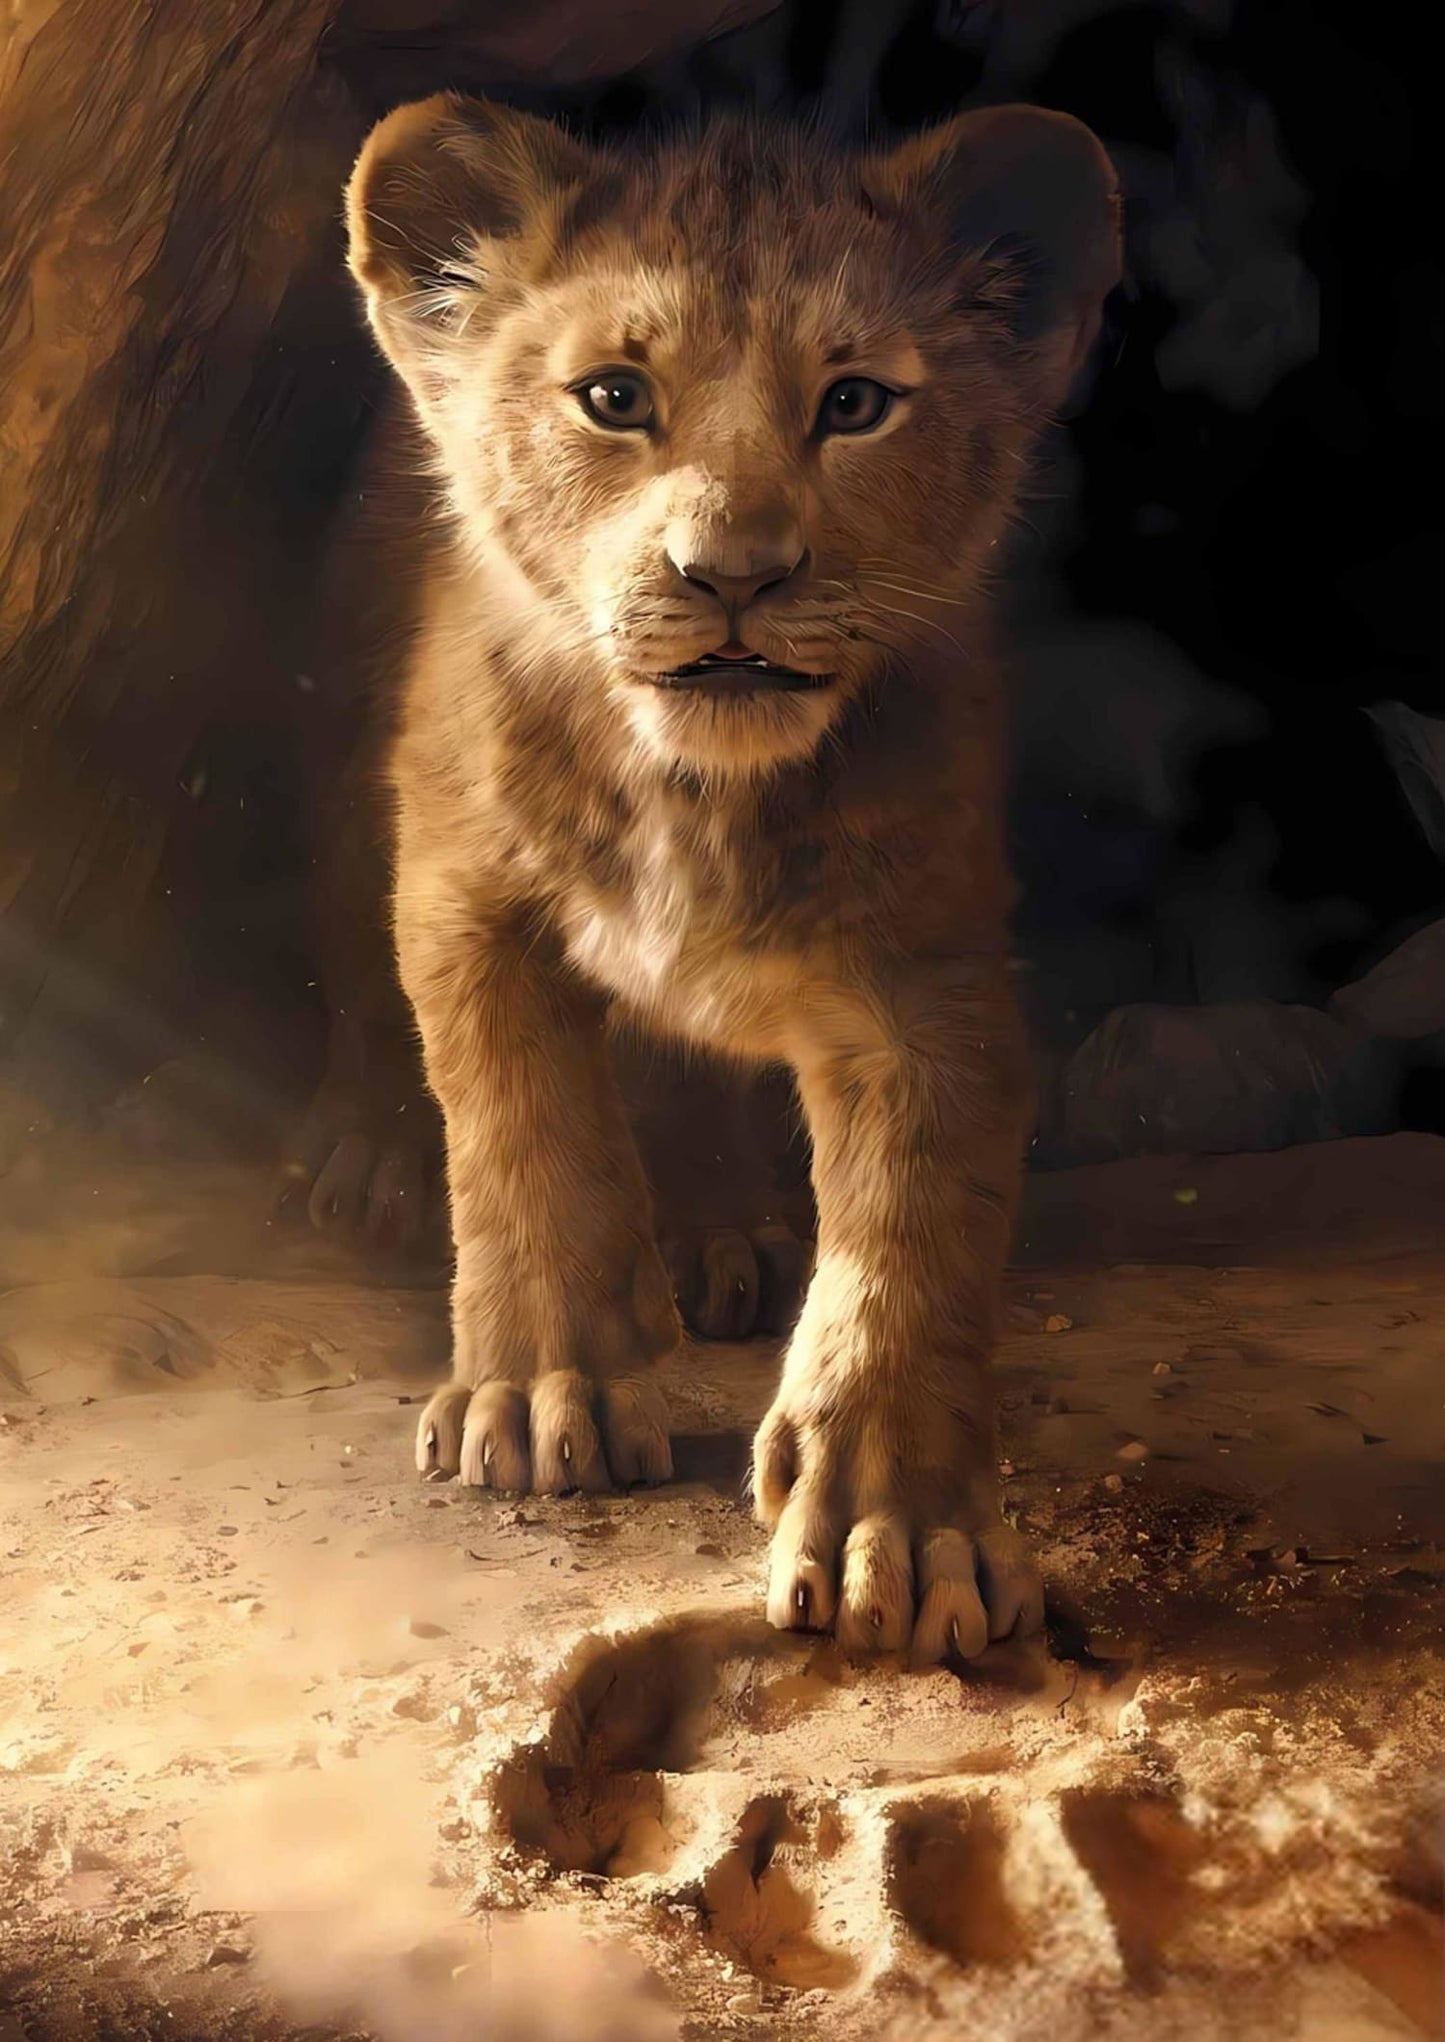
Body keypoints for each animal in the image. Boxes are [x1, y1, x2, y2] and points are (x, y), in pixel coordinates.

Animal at [341, 93, 1120, 1662]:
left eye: (856, 403)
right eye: (613, 396)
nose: (734, 575)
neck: (695, 790)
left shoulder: (925, 975)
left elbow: (911, 1238)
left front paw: (904, 1530)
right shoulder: (461, 888)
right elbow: (522, 1132)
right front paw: (542, 1393)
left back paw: (721, 1236)